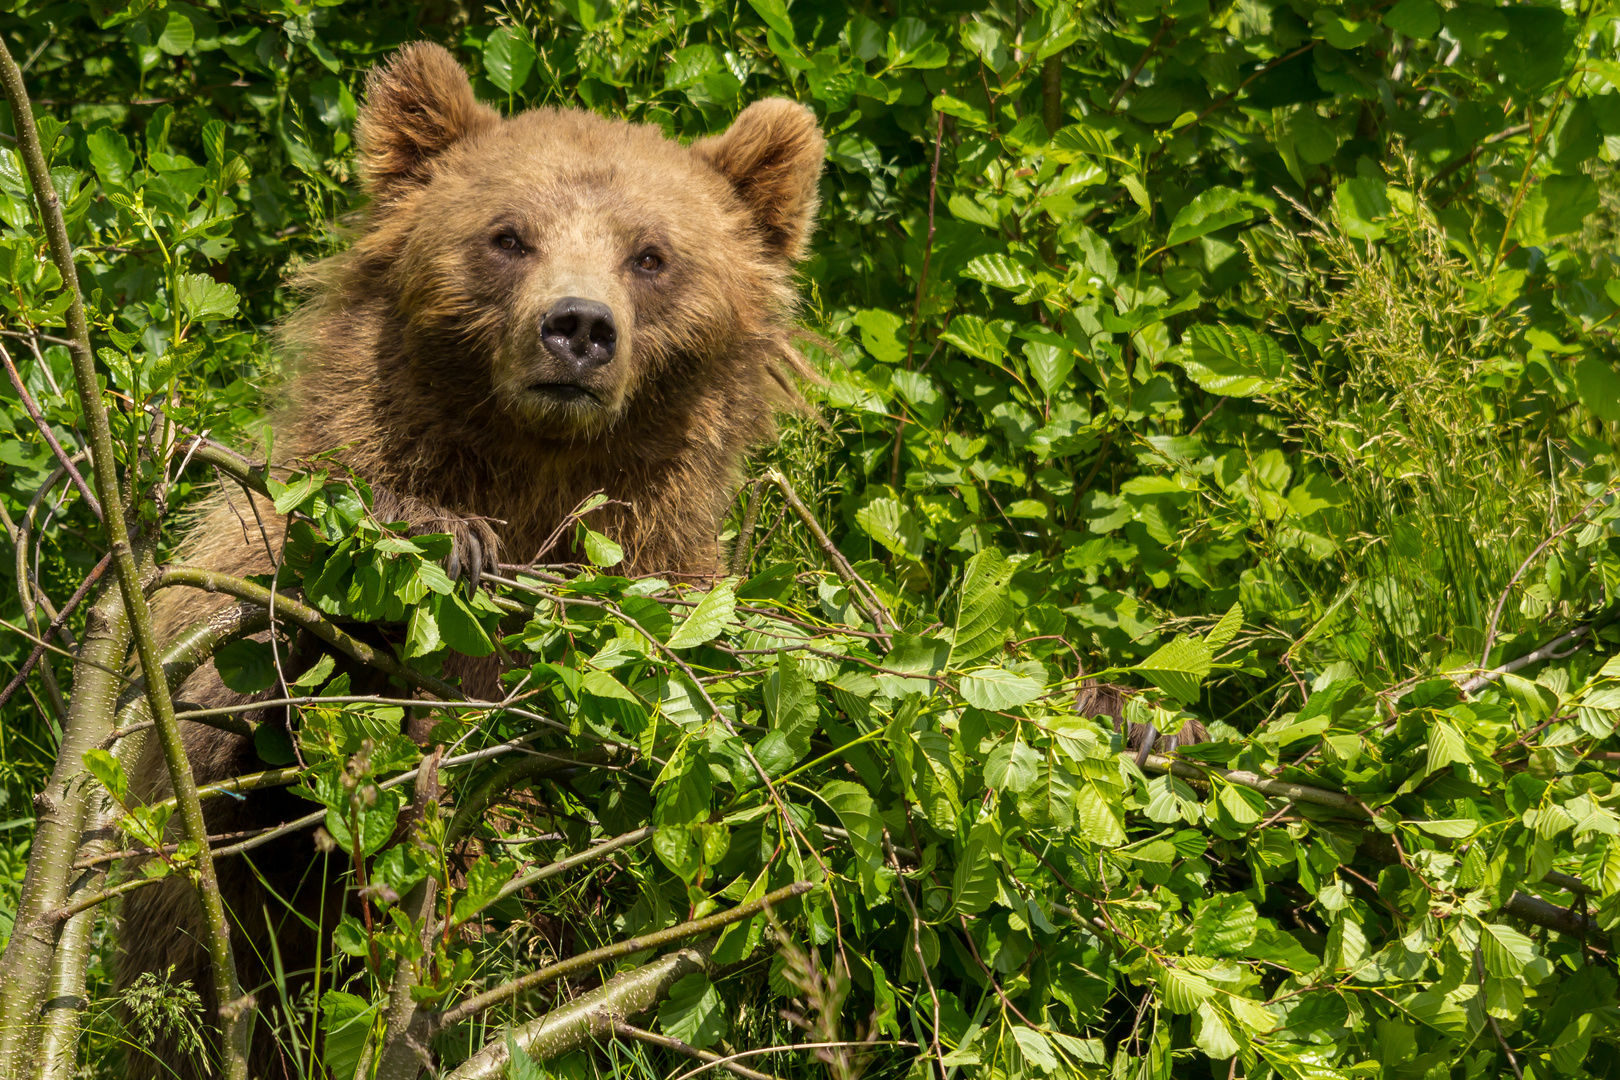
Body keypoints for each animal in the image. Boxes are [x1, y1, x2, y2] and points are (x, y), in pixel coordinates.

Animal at [119, 42, 822, 1080]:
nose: (578, 328)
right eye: (508, 235)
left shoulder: (681, 603)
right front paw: (424, 547)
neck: (531, 475)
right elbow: (238, 762)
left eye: (651, 254)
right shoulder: (251, 559)